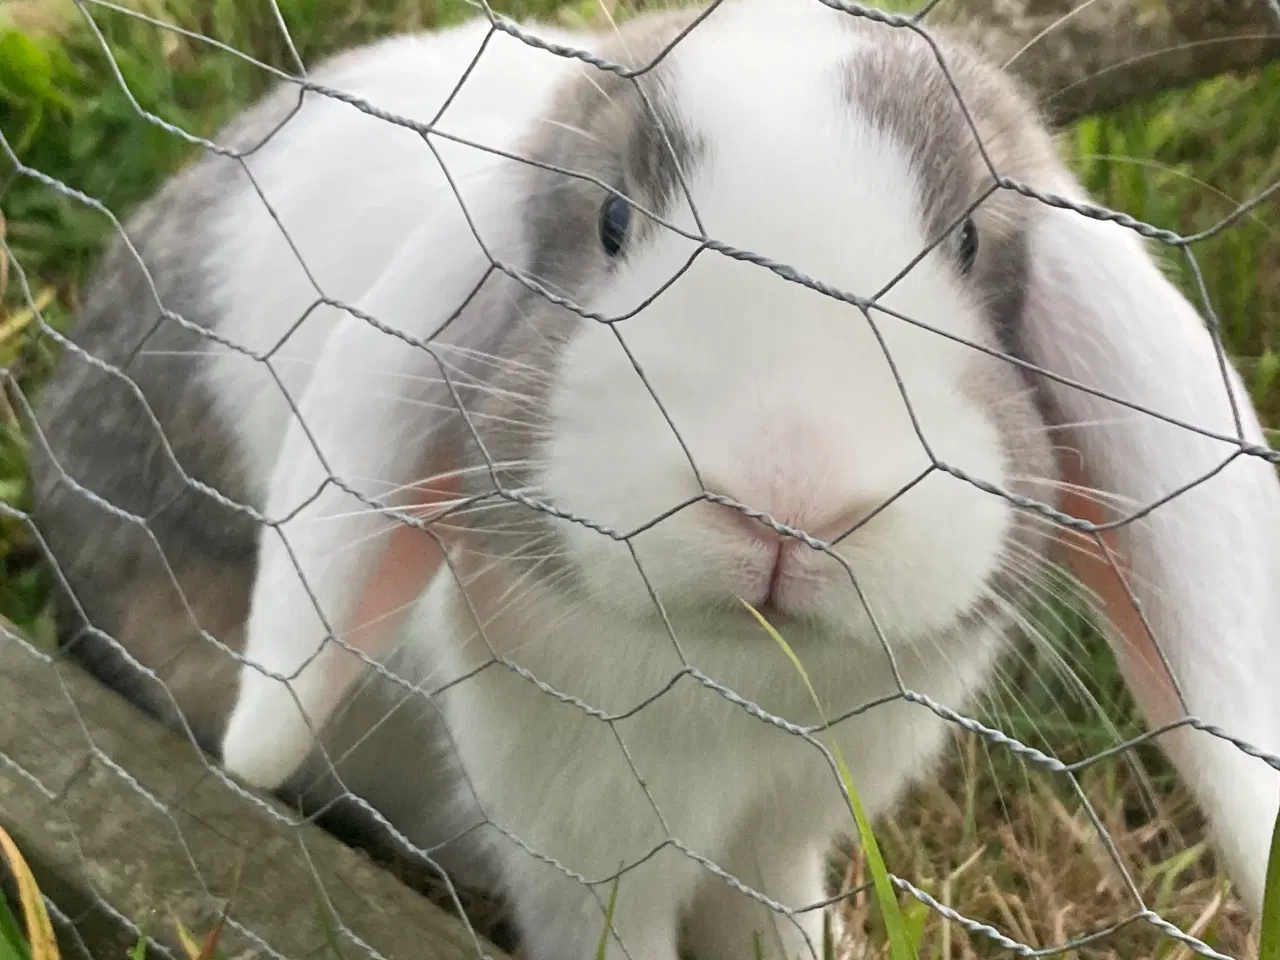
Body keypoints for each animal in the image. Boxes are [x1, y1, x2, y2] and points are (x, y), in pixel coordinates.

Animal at [24, 0, 1280, 957]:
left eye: (971, 244)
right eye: (611, 221)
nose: (787, 501)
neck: (739, 680)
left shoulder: (785, 828)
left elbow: (774, 914)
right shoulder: (577, 846)